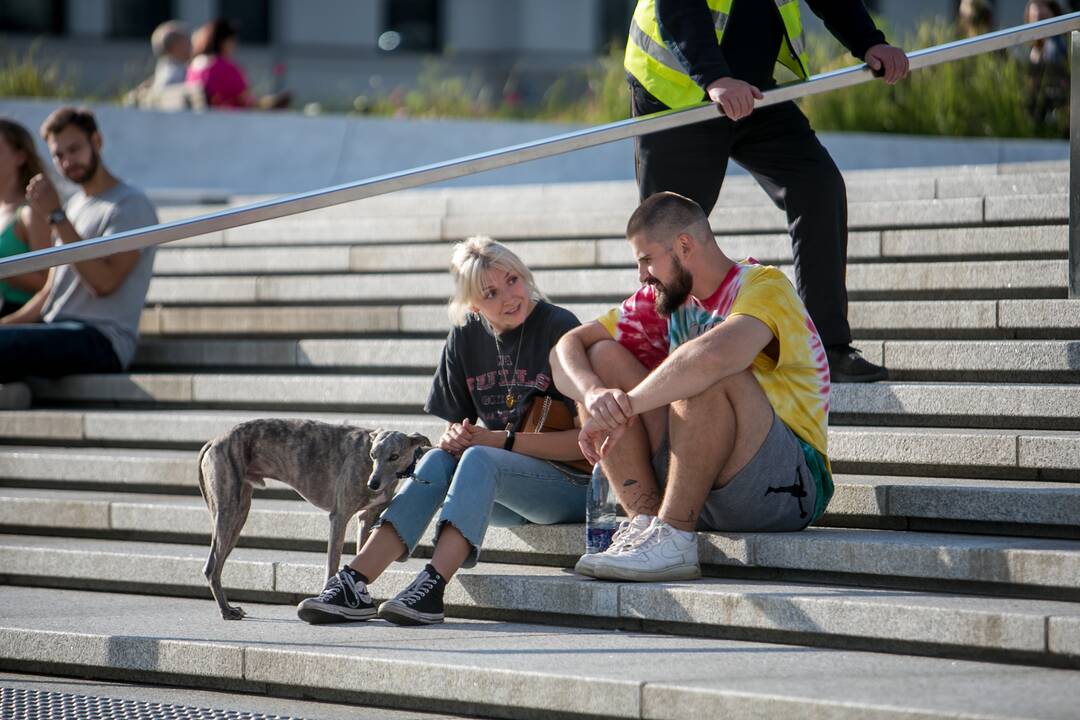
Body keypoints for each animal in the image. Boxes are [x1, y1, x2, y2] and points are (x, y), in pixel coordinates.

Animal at [196, 418, 427, 621]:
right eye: (373, 454)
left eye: (394, 456)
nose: (373, 484)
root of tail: (214, 441)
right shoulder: (339, 517)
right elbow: (332, 564)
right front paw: (326, 599)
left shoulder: (366, 517)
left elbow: (363, 554)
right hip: (229, 510)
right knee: (212, 568)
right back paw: (227, 611)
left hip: (239, 512)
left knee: (213, 565)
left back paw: (227, 608)